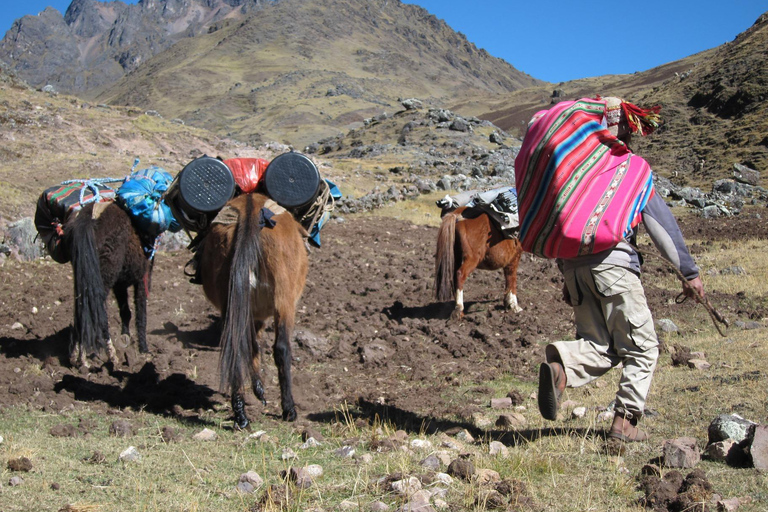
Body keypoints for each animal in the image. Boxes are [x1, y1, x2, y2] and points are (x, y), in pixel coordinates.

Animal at [65, 201, 152, 368]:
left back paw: (77, 357)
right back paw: (110, 356)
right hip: (104, 277)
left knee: (81, 311)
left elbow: (126, 312)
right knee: (97, 311)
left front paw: (126, 339)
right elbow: (141, 312)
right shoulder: (143, 276)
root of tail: (90, 216)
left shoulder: (119, 285)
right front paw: (144, 350)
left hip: (83, 277)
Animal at [198, 192, 308, 428]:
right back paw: (289, 409)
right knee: (282, 348)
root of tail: (251, 210)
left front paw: (258, 388)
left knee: (236, 346)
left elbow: (252, 346)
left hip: (232, 301)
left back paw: (240, 413)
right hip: (284, 300)